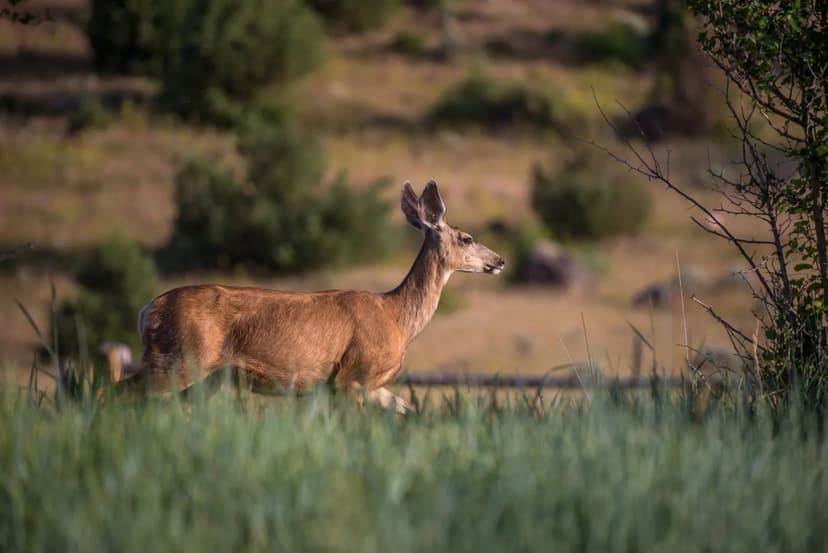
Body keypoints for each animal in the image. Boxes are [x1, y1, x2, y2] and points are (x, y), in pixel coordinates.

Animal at [114, 180, 505, 413]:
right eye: (467, 238)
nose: (500, 260)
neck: (397, 316)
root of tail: (147, 310)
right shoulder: (352, 375)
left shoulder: (363, 386)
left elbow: (410, 411)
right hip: (179, 358)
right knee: (115, 392)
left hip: (196, 373)